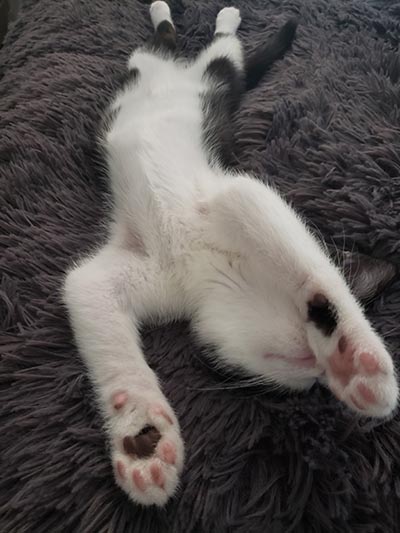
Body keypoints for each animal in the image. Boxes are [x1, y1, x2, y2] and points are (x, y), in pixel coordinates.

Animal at [63, 1, 398, 507]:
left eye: (312, 385)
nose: (317, 368)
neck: (214, 266)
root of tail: (183, 71)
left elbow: (87, 288)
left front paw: (144, 440)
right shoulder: (236, 196)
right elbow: (300, 255)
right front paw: (355, 355)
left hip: (192, 73)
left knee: (203, 52)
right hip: (185, 71)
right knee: (199, 49)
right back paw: (204, 16)